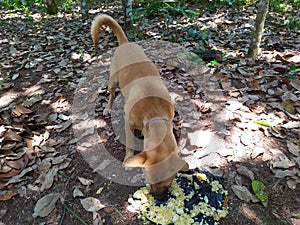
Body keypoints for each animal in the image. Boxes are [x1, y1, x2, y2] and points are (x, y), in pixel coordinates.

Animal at [91, 14, 189, 199]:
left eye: (169, 182)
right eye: (149, 181)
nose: (159, 198)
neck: (154, 111)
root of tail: (125, 43)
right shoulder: (129, 125)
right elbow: (129, 144)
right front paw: (128, 159)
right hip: (113, 80)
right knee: (111, 94)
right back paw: (108, 108)